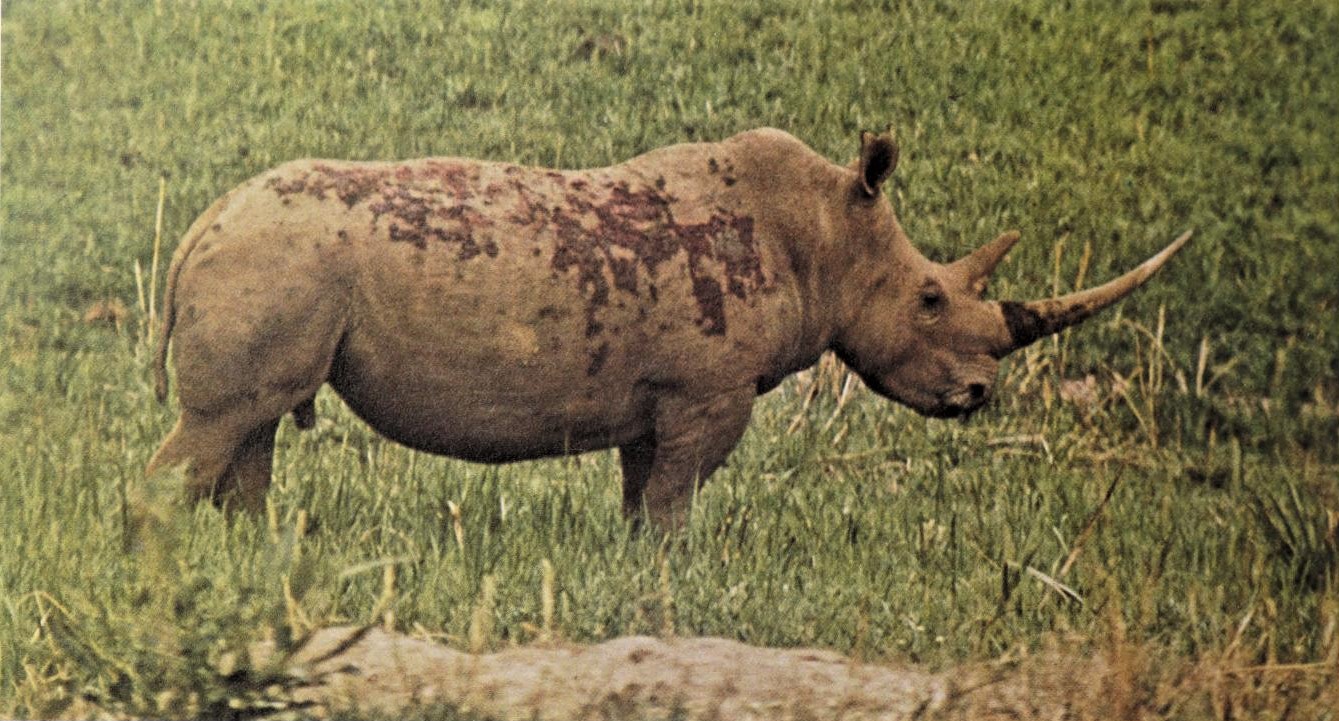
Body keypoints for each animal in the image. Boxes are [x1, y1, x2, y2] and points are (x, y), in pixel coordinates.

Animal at [147, 128, 1189, 528]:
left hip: (278, 268)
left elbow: (642, 497)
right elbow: (674, 503)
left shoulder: (659, 401)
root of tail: (200, 227)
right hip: (274, 265)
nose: (978, 394)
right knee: (221, 423)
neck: (824, 231)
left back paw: (247, 553)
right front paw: (669, 577)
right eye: (931, 298)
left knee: (250, 429)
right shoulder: (707, 394)